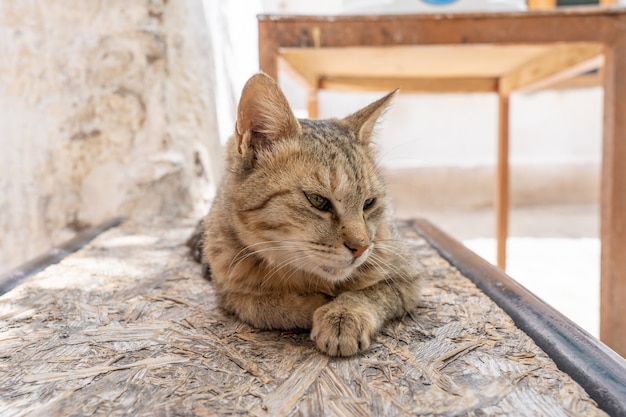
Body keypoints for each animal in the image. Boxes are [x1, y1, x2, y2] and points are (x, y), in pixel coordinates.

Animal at [185, 73, 420, 356]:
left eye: (369, 203)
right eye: (318, 201)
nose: (361, 247)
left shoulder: (408, 276)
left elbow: (370, 293)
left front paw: (343, 313)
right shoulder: (229, 293)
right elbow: (266, 306)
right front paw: (314, 305)